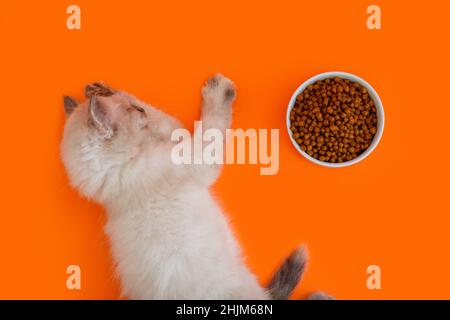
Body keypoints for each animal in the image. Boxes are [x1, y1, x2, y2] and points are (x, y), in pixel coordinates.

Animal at [61, 75, 330, 300]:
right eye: (136, 111)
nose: (141, 113)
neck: (117, 180)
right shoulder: (195, 155)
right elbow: (208, 126)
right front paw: (218, 90)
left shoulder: (173, 139)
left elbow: (165, 121)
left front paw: (100, 88)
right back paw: (321, 296)